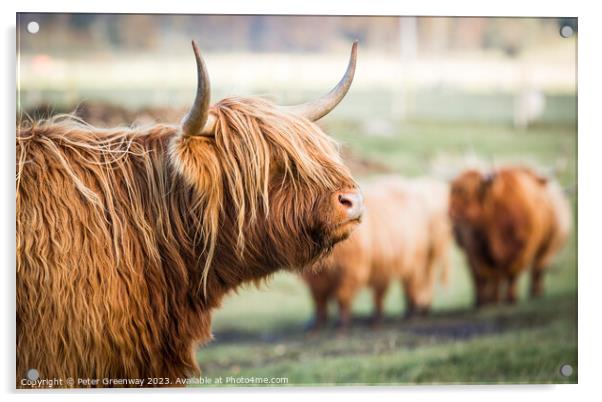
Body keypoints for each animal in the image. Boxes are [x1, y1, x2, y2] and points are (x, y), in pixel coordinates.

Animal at [448, 166, 568, 308]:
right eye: (452, 191)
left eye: (465, 192)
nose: (449, 212)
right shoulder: (480, 255)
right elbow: (493, 277)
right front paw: (494, 300)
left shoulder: (521, 250)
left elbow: (512, 275)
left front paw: (511, 298)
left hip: (545, 247)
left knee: (537, 269)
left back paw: (535, 293)